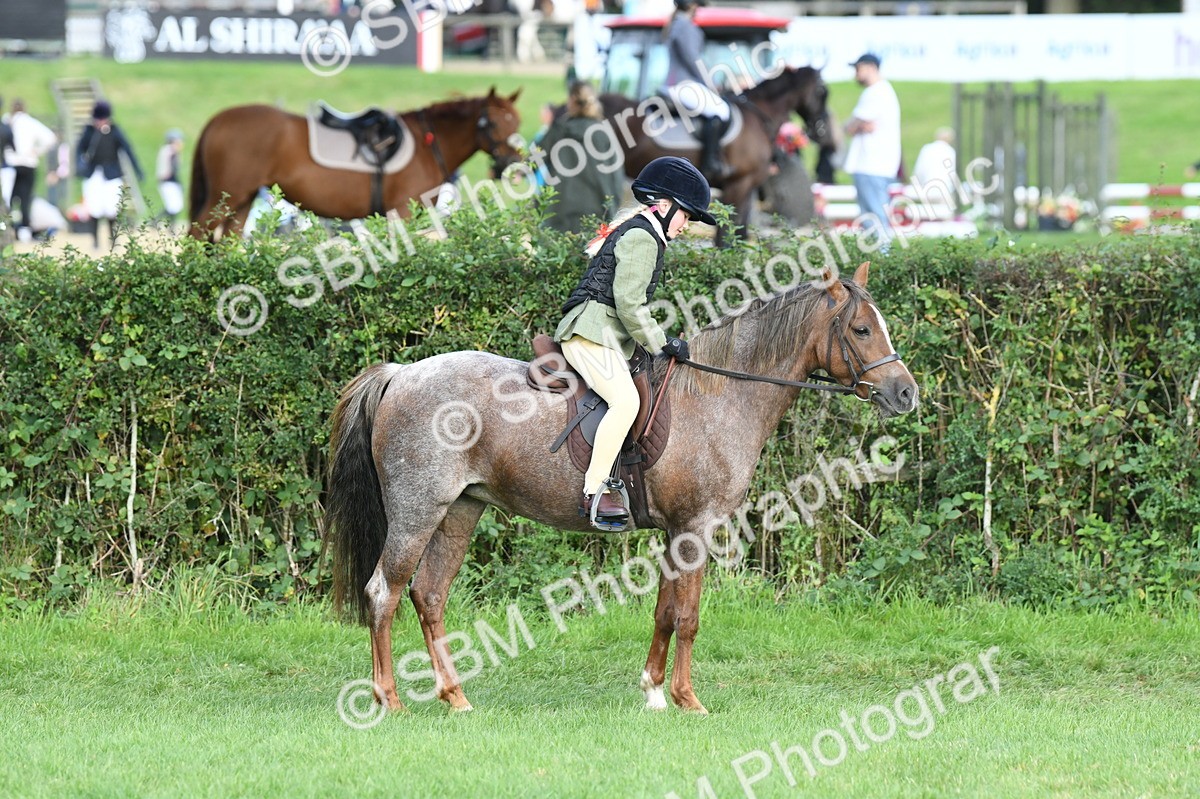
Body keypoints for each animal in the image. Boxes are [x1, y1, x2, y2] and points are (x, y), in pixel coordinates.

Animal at [188, 88, 522, 241]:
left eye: (516, 122)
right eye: (493, 123)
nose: (513, 164)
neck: (427, 143)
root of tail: (217, 120)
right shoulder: (402, 211)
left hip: (241, 200)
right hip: (223, 197)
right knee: (196, 234)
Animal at [325, 262, 917, 714]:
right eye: (862, 331)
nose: (906, 393)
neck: (717, 392)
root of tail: (401, 373)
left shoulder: (676, 532)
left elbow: (664, 612)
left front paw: (653, 692)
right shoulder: (696, 527)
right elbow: (689, 617)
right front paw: (687, 700)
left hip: (460, 510)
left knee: (429, 595)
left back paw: (456, 697)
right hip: (417, 511)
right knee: (384, 593)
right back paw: (389, 700)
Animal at [598, 67, 831, 246]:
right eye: (821, 91)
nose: (821, 131)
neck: (757, 116)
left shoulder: (747, 187)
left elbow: (740, 233)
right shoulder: (737, 185)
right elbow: (724, 237)